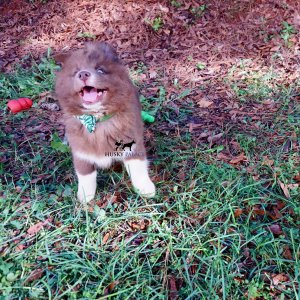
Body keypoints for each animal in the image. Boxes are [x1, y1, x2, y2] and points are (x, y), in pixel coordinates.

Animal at [54, 41, 156, 202]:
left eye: (100, 70)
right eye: (76, 71)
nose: (83, 74)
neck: (96, 119)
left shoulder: (132, 142)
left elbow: (137, 168)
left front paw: (145, 189)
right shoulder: (81, 150)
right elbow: (85, 174)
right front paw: (85, 196)